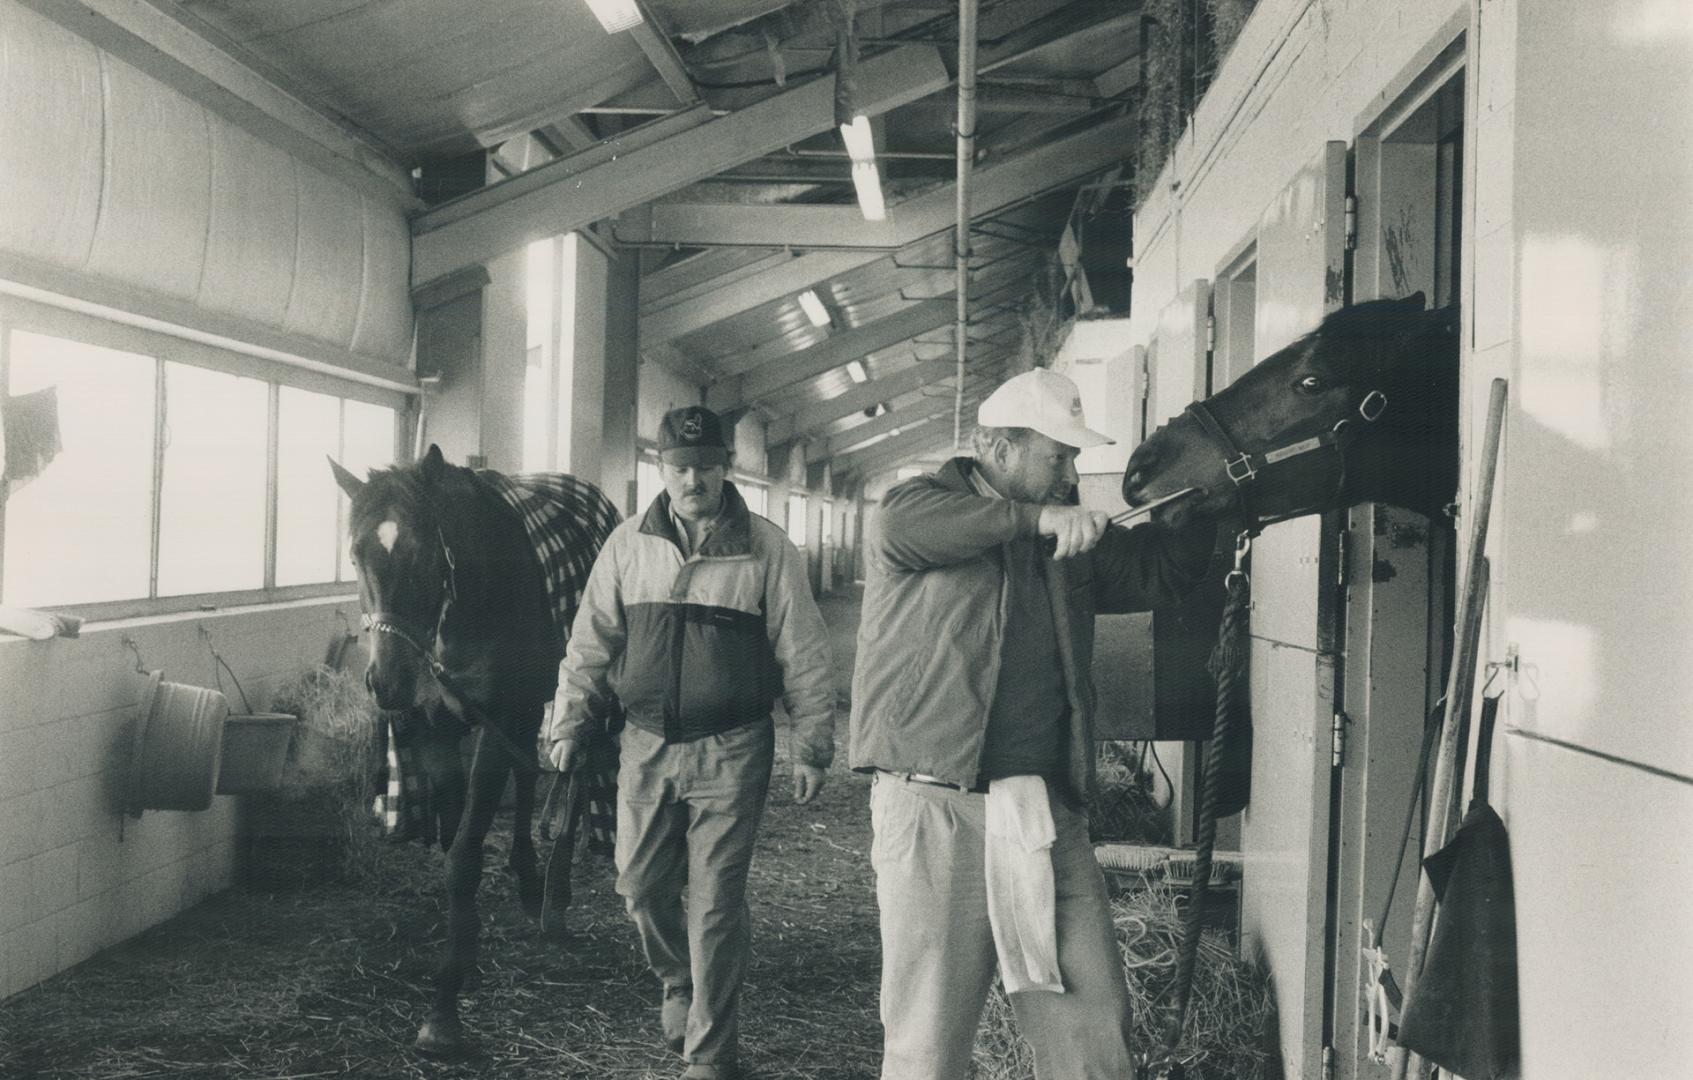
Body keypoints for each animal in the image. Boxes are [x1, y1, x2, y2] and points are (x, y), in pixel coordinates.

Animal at [330, 443, 623, 1056]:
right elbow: (453, 844)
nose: (387, 682)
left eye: (424, 553)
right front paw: (464, 958)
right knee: (534, 775)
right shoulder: (437, 726)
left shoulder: (495, 723)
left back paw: (556, 897)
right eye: (355, 553)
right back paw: (530, 880)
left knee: (575, 776)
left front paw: (443, 1010)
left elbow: (464, 857)